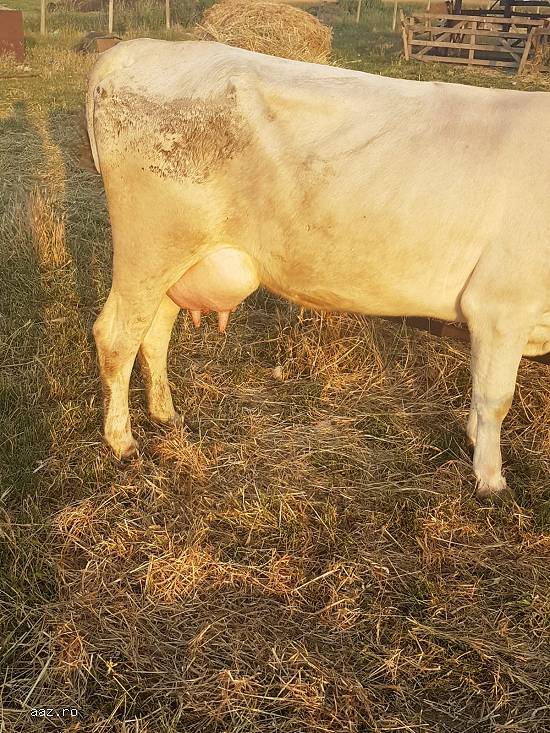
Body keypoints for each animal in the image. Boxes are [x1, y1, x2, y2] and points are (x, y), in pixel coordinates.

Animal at [86, 39, 550, 500]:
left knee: (154, 333)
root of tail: (135, 49)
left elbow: (479, 389)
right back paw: (122, 441)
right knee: (116, 337)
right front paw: (490, 478)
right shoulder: (501, 305)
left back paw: (165, 414)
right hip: (150, 248)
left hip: (177, 263)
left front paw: (473, 442)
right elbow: (495, 398)